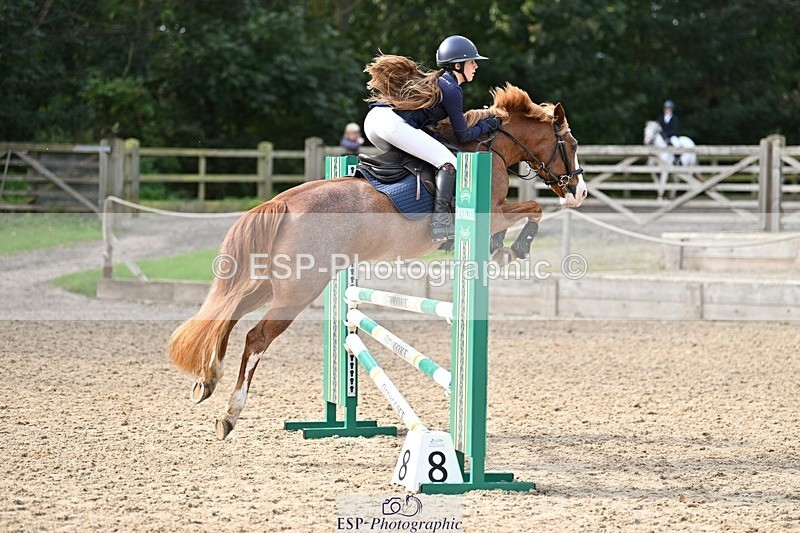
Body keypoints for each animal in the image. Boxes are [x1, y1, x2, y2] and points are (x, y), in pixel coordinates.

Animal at [167, 83, 588, 439]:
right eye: (571, 143)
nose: (580, 191)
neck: (490, 150)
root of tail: (282, 202)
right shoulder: (495, 211)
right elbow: (533, 210)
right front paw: (515, 249)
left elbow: (523, 215)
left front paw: (501, 249)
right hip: (299, 290)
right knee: (255, 336)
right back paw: (229, 414)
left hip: (273, 283)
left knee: (228, 313)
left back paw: (206, 381)